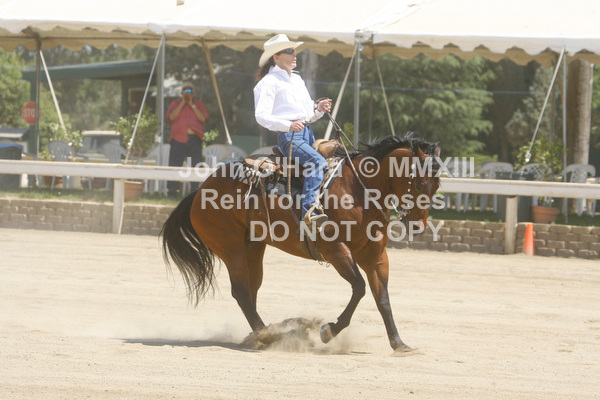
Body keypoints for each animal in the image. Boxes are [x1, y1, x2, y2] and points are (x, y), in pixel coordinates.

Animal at [161, 134, 441, 352]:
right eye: (418, 183)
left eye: (437, 185)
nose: (418, 226)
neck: (356, 189)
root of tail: (200, 191)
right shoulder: (335, 250)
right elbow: (360, 288)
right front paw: (329, 330)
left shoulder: (375, 255)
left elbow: (382, 298)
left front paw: (399, 343)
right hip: (230, 247)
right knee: (240, 291)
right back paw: (269, 335)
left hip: (253, 246)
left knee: (251, 289)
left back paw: (260, 334)